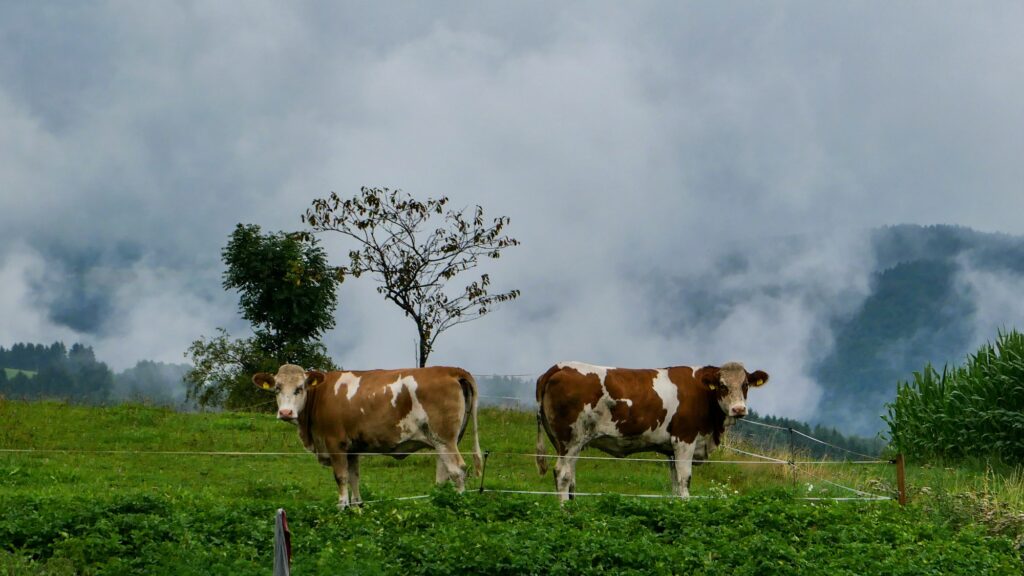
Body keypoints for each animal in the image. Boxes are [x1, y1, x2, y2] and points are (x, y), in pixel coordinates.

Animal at [253, 364, 482, 509]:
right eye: (277, 388)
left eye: (300, 388)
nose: (285, 413)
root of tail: (449, 370)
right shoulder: (353, 448)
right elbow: (354, 477)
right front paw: (357, 507)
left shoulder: (335, 444)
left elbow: (341, 477)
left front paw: (342, 507)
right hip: (443, 441)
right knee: (443, 474)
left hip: (444, 439)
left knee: (458, 471)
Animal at [535, 361, 768, 502]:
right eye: (722, 386)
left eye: (745, 385)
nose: (739, 409)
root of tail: (560, 366)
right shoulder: (684, 440)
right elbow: (685, 481)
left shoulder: (671, 450)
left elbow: (675, 484)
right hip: (570, 439)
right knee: (563, 474)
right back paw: (565, 512)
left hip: (568, 442)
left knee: (570, 474)